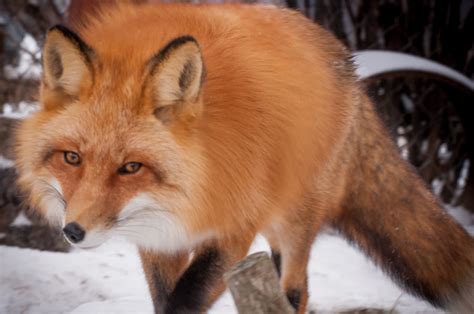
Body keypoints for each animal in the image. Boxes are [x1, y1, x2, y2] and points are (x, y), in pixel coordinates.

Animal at [13, 3, 470, 314]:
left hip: (294, 217)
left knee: (296, 290)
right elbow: (163, 300)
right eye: (72, 157)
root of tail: (349, 61)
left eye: (131, 167)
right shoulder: (159, 238)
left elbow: (186, 300)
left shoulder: (235, 228)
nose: (73, 232)